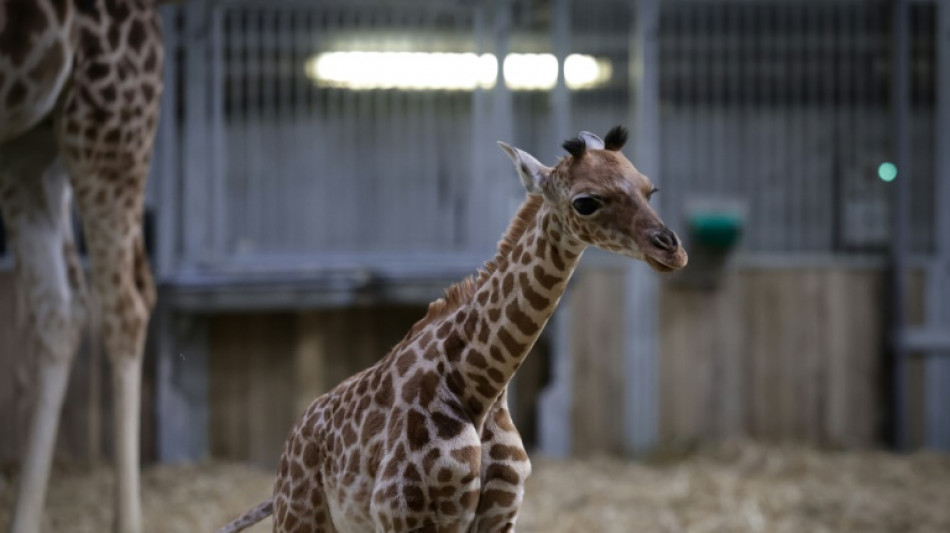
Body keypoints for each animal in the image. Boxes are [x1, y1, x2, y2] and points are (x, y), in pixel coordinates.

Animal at [219, 125, 688, 533]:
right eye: (586, 202)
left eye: (649, 188)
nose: (672, 250)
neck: (481, 387)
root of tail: (290, 445)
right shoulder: (404, 516)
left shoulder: (500, 516)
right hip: (301, 517)